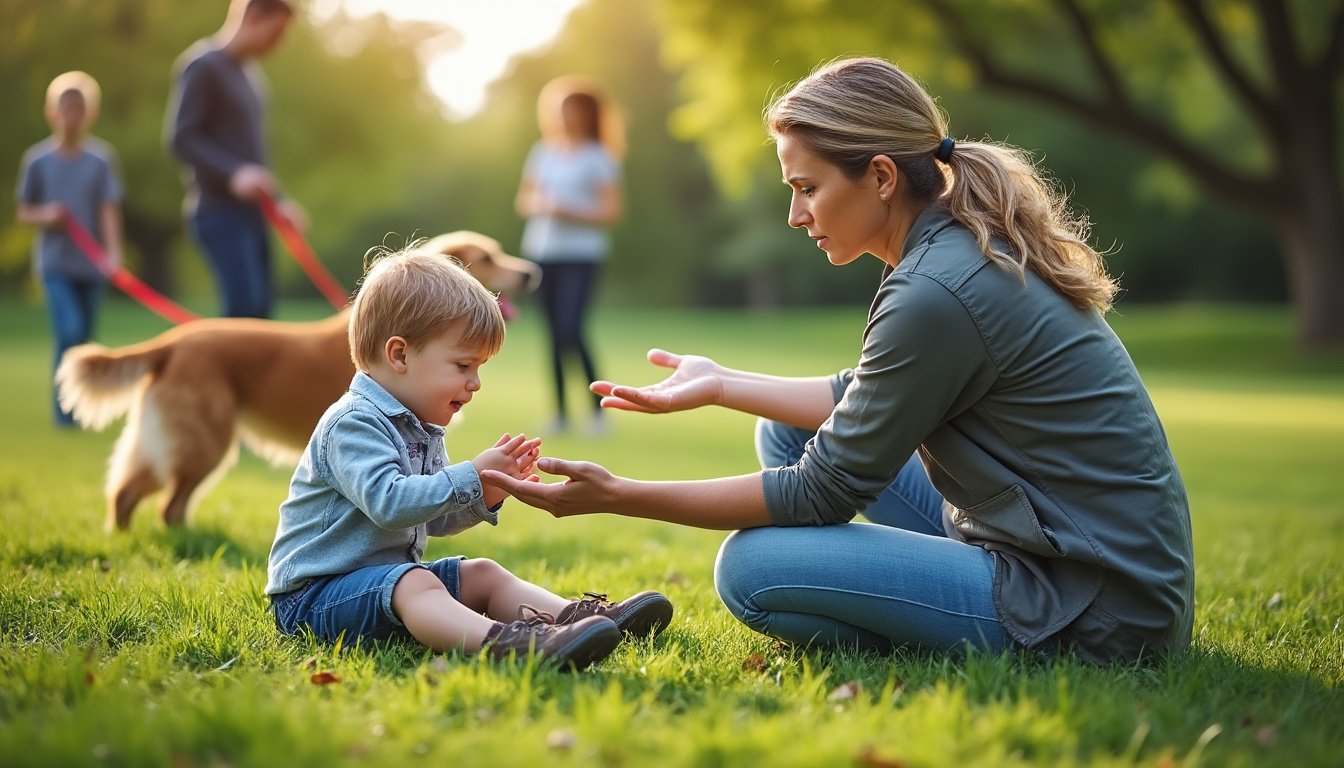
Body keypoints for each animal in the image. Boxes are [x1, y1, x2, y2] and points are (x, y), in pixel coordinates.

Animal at [56, 234, 540, 532]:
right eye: (488, 257)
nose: (531, 273)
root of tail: (171, 342)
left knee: (130, 490)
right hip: (203, 441)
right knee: (166, 504)